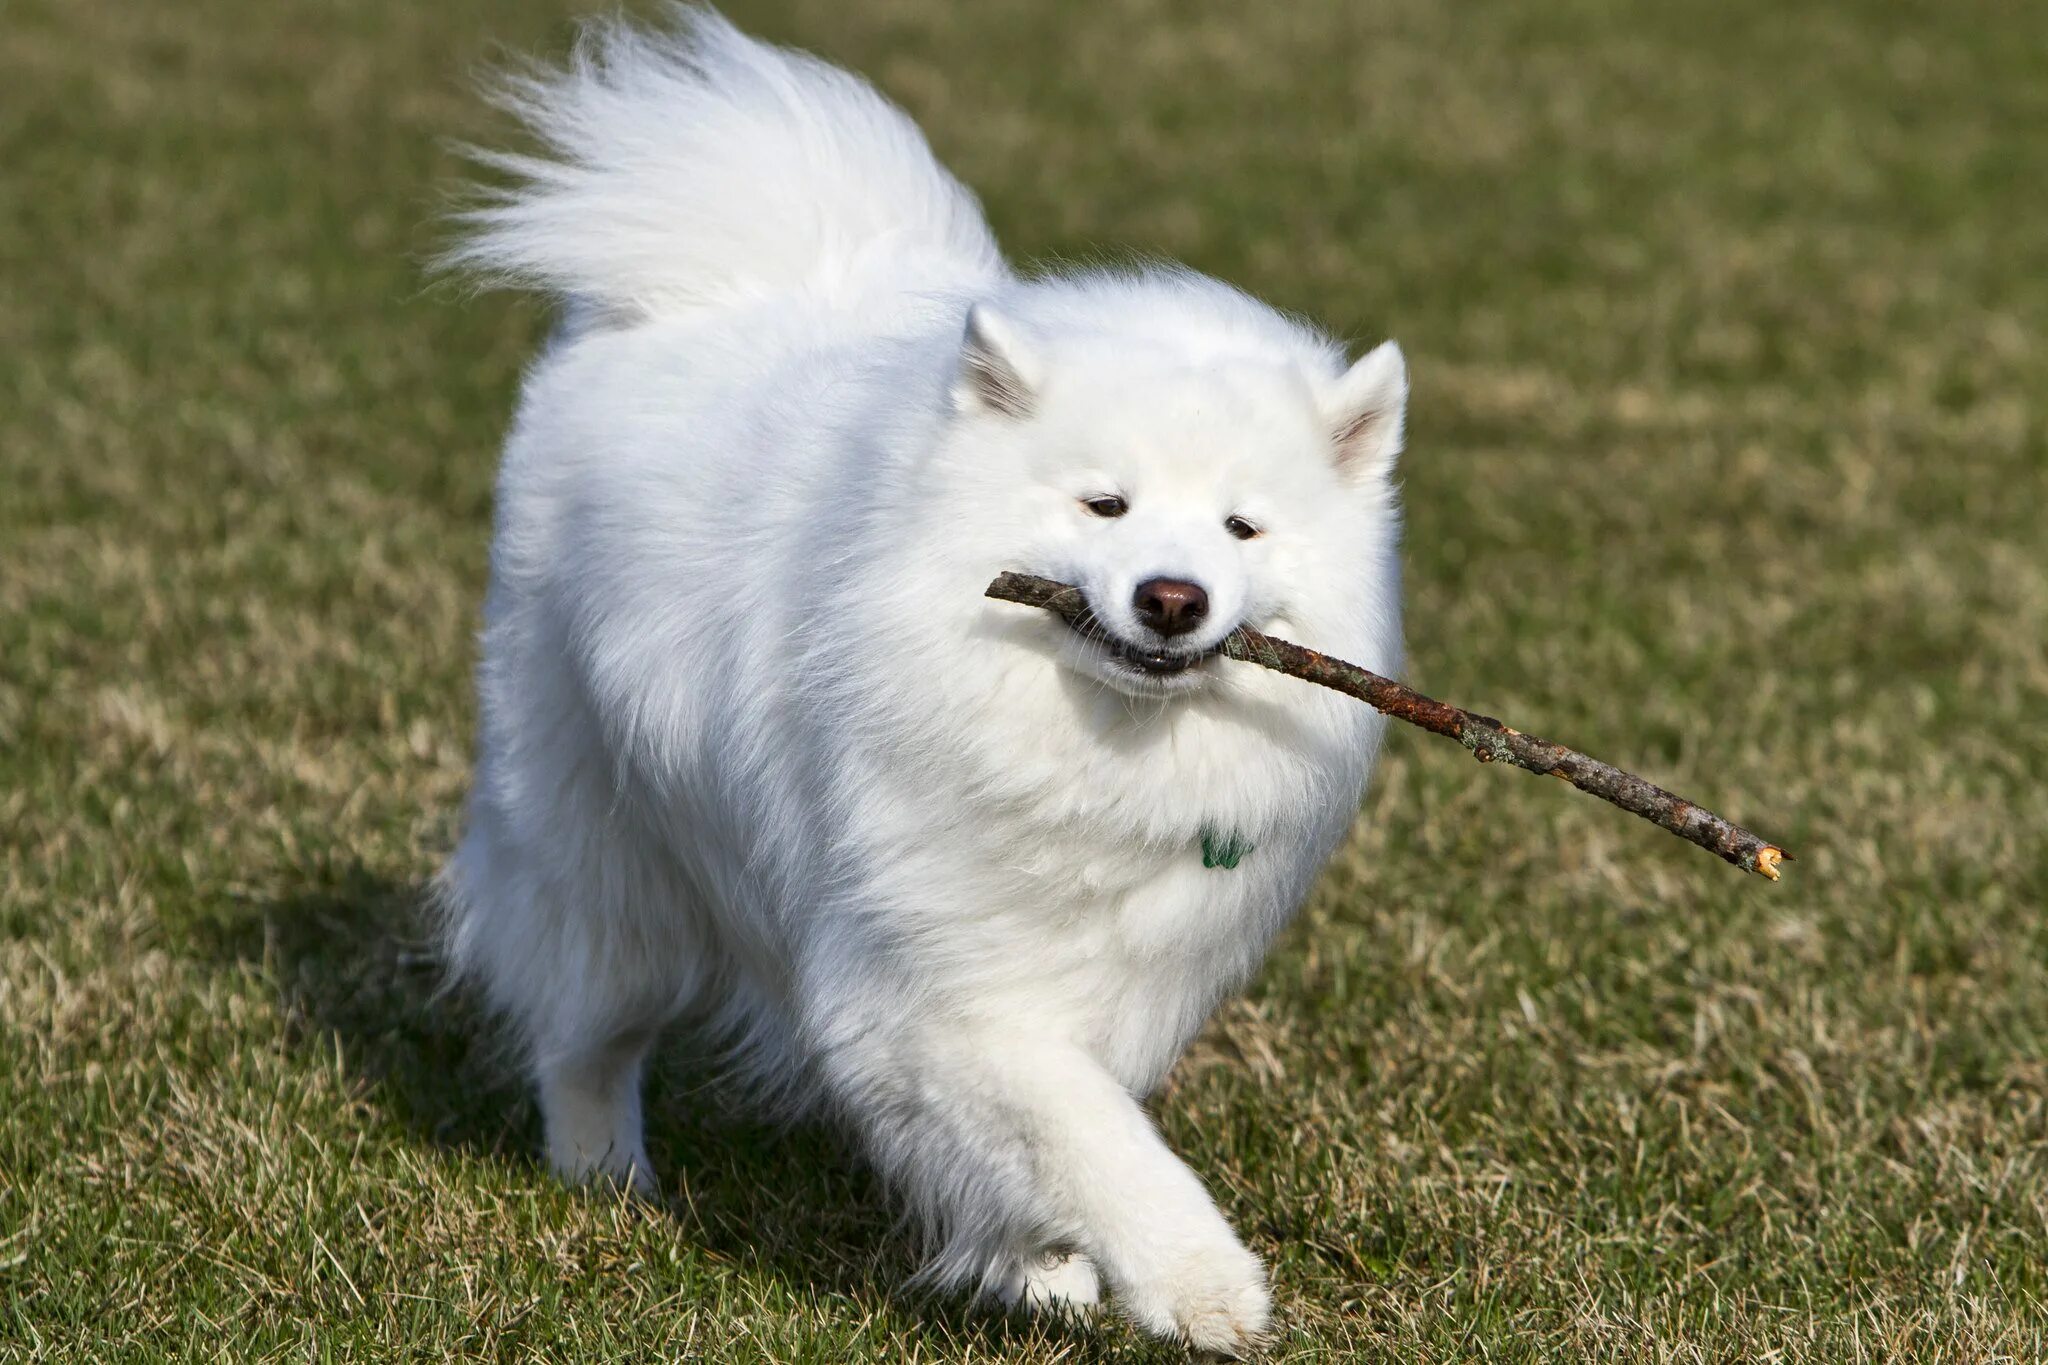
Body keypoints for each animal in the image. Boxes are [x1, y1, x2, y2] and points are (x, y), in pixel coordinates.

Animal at [442, 7, 1409, 1358]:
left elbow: (1045, 1144)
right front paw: (1198, 1285)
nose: (1172, 598)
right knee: (585, 1030)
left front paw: (1039, 1269)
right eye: (1103, 505)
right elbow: (1091, 1136)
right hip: (603, 851)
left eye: (1239, 528)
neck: (1080, 747)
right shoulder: (936, 985)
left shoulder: (1107, 979)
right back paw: (604, 1177)